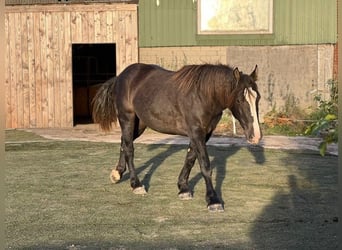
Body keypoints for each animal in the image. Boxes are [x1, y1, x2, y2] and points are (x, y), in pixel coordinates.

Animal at [92, 62, 260, 211]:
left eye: (257, 98)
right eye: (239, 100)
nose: (256, 136)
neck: (203, 95)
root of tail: (121, 76)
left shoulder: (204, 133)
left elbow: (190, 158)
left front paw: (183, 188)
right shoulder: (196, 131)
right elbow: (205, 166)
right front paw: (213, 200)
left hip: (139, 124)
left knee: (123, 142)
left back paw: (117, 173)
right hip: (127, 118)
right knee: (129, 148)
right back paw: (136, 185)